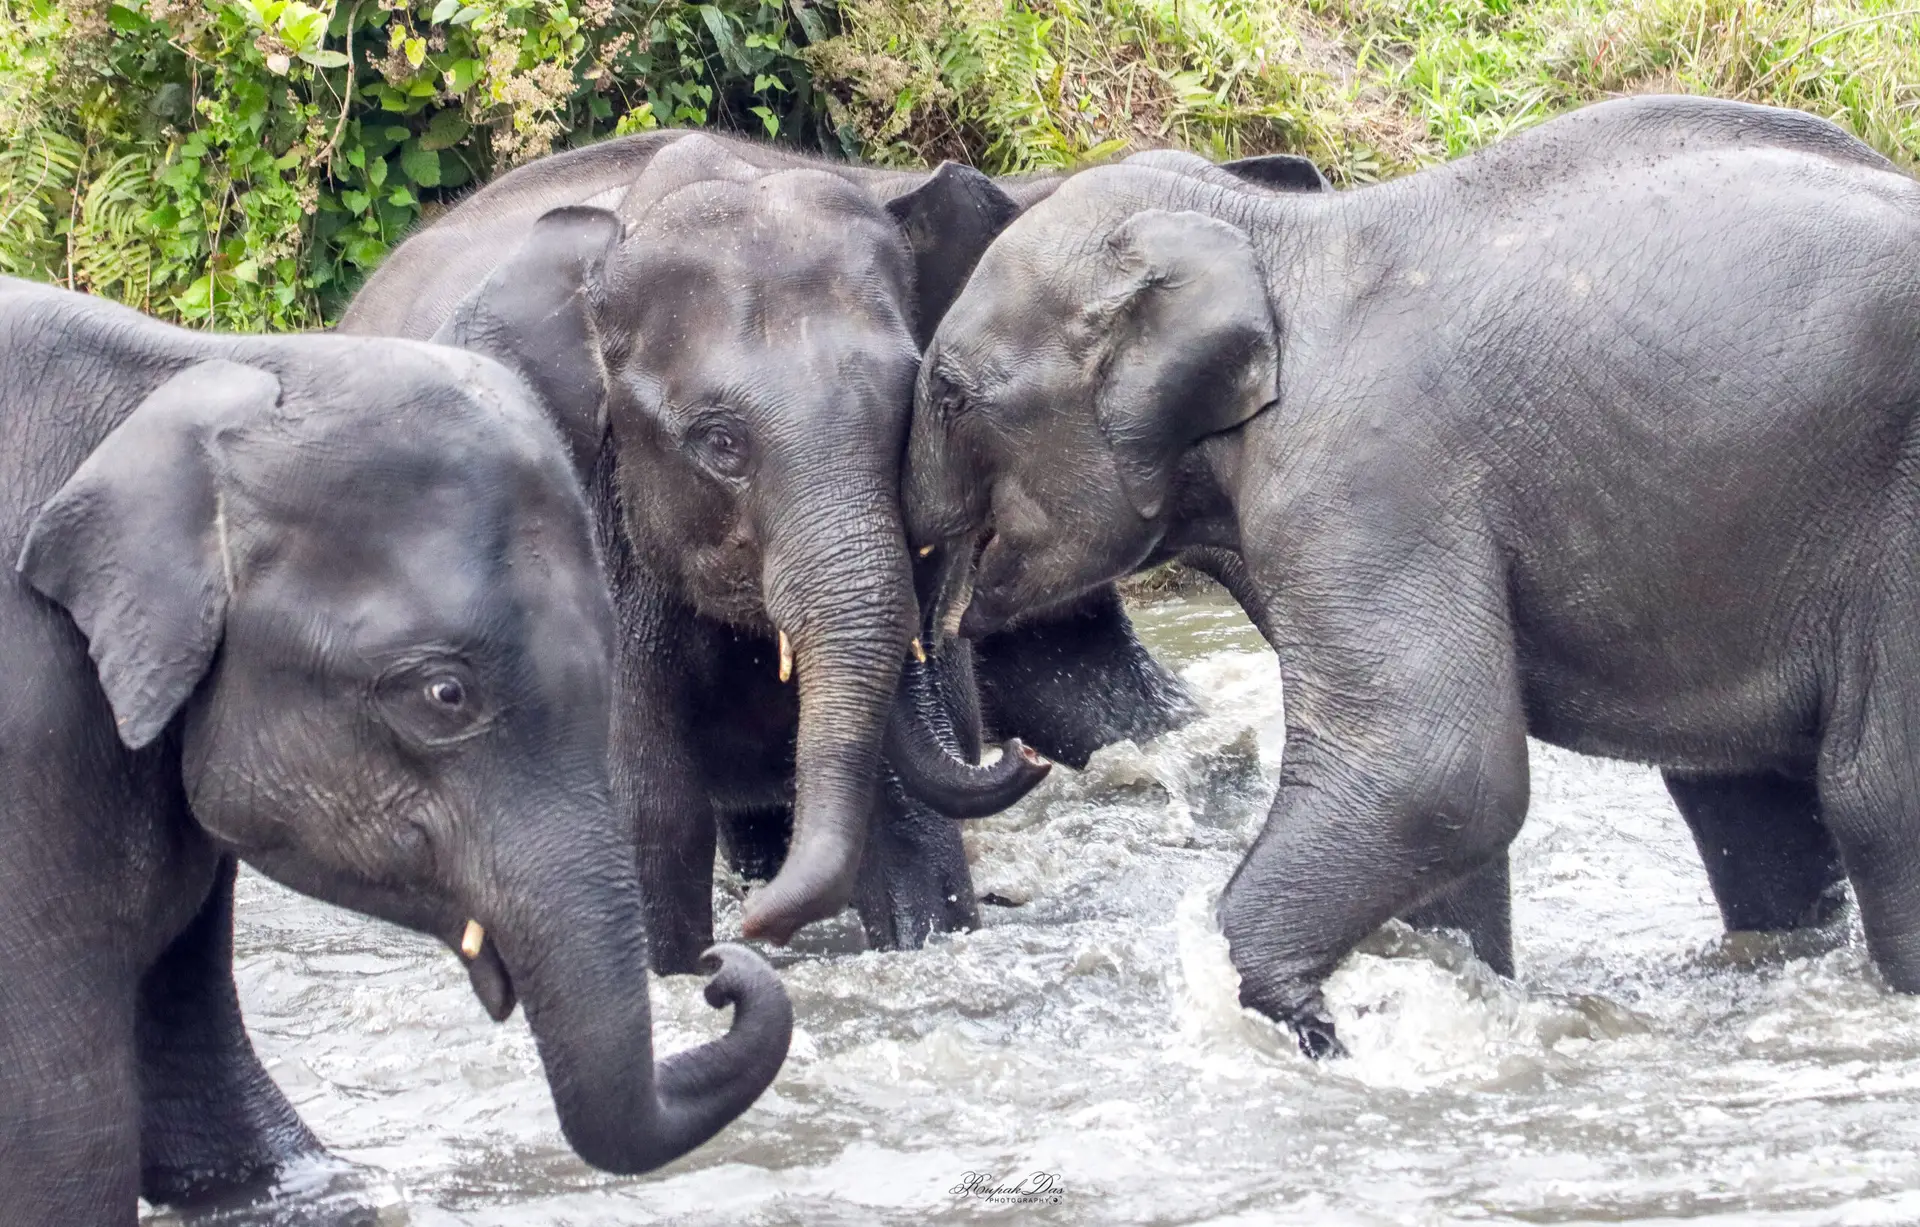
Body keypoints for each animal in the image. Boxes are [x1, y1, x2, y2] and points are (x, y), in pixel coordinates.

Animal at [0, 278, 791, 1225]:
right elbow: (63, 1151)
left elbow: (207, 1112)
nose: (717, 967)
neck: (193, 366)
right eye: (444, 696)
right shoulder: (28, 730)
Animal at [903, 94, 1920, 1056]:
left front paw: (1301, 1020)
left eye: (949, 395)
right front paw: (1437, 987)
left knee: (1873, 795)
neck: (1270, 233)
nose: (1020, 754)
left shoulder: (1366, 479)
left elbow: (1434, 771)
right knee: (1750, 803)